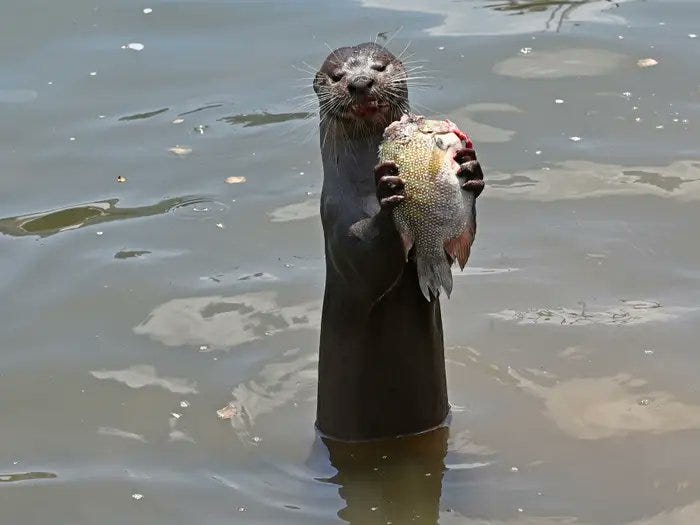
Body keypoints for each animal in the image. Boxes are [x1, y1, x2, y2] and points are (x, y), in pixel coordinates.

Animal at [313, 42, 484, 441]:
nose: (360, 82)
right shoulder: (335, 220)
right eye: (336, 76)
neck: (361, 190)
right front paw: (389, 188)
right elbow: (367, 262)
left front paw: (471, 168)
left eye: (379, 66)